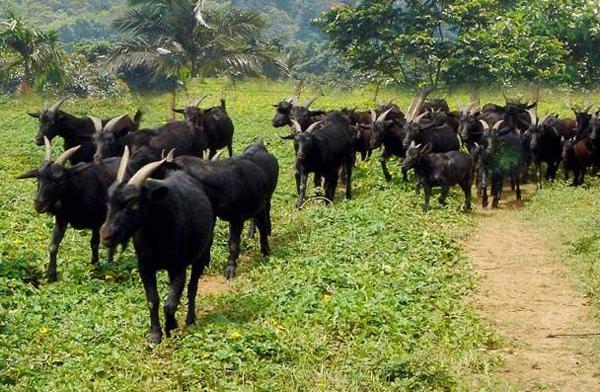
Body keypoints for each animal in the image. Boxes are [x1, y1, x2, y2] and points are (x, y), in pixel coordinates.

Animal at [17, 138, 119, 282]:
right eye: (38, 176)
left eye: (59, 179)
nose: (39, 204)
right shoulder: (61, 219)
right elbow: (53, 245)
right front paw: (51, 276)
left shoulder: (98, 222)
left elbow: (94, 243)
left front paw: (95, 266)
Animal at [101, 150, 216, 344]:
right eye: (108, 202)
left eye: (135, 204)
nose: (106, 236)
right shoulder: (145, 266)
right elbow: (152, 300)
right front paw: (155, 335)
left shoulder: (178, 267)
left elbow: (170, 304)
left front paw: (171, 329)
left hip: (202, 253)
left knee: (192, 287)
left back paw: (190, 320)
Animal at [168, 140, 280, 278]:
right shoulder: (213, 216)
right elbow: (209, 241)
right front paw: (205, 265)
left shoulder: (237, 218)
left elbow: (233, 244)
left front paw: (231, 269)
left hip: (265, 201)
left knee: (263, 223)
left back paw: (265, 248)